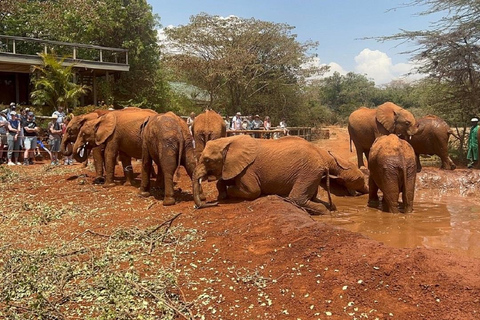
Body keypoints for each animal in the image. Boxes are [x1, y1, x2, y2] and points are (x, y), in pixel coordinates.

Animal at [192, 135, 338, 215]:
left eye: (207, 160)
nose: (213, 203)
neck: (229, 140)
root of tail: (323, 161)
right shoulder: (234, 166)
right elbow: (226, 180)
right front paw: (222, 195)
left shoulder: (248, 169)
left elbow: (253, 191)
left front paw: (227, 192)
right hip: (312, 174)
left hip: (308, 171)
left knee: (297, 199)